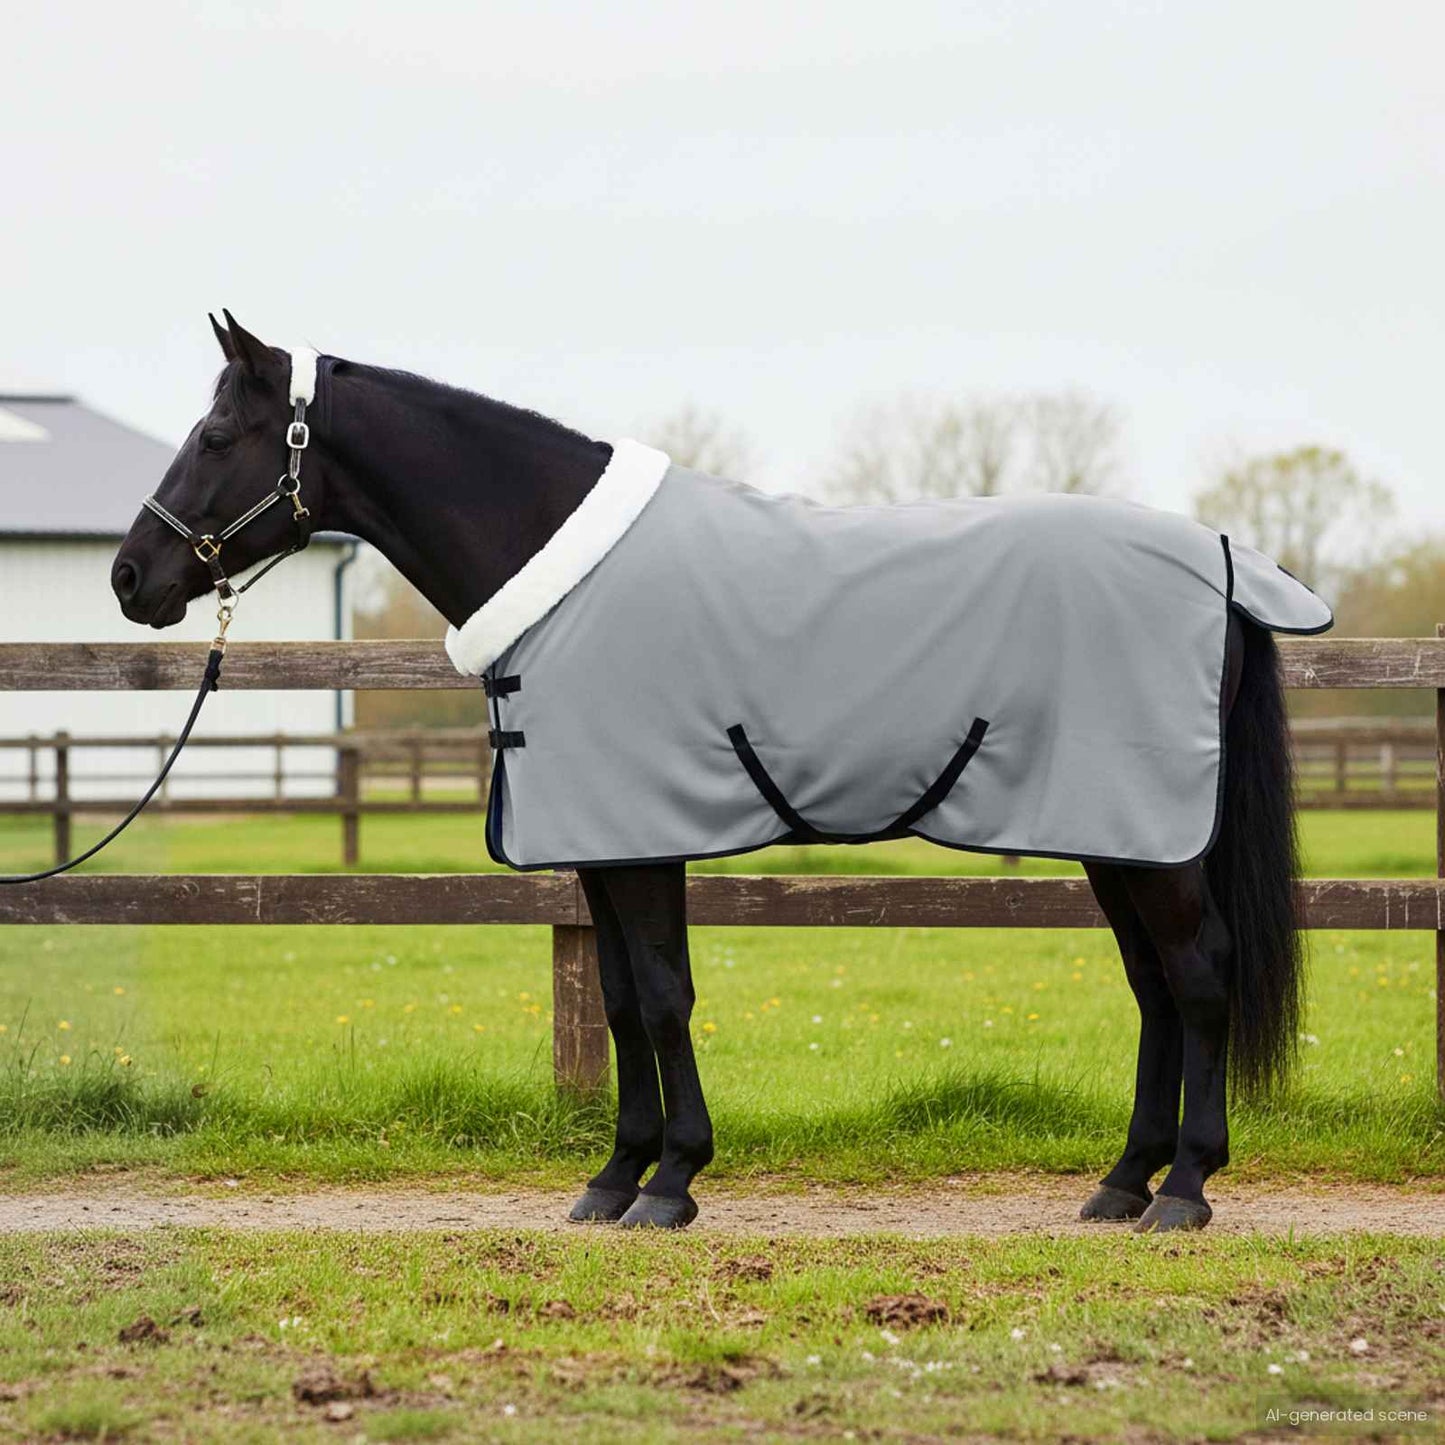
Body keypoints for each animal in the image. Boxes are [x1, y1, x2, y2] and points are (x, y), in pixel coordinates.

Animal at [112, 313, 1317, 1234]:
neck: (559, 568)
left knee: (1198, 973)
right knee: (1153, 985)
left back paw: (1184, 1188)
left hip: (1153, 840)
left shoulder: (642, 838)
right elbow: (617, 1000)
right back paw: (1121, 1182)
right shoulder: (600, 844)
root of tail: (1221, 560)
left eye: (216, 432)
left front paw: (673, 1180)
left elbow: (659, 995)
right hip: (1118, 834)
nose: (131, 575)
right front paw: (615, 1177)